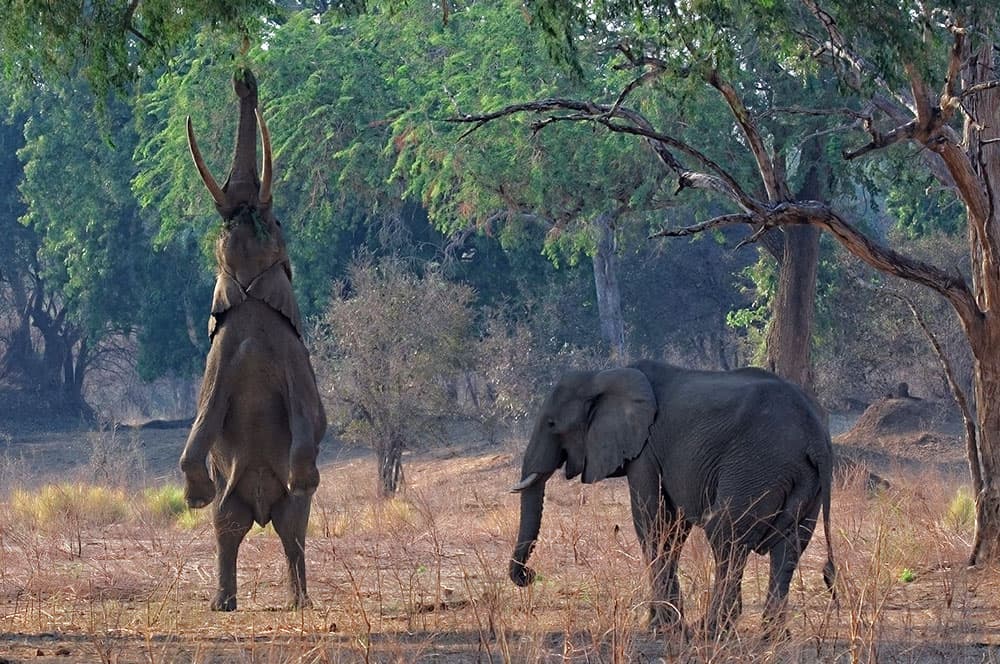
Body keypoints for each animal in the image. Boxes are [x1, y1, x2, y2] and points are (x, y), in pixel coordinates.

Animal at [179, 69, 327, 611]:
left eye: (276, 221)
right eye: (224, 224)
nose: (245, 80)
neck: (250, 298)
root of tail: (260, 505)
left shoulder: (292, 357)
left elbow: (313, 417)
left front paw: (304, 474)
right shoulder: (218, 358)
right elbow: (201, 418)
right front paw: (194, 492)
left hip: (287, 510)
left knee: (293, 527)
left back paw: (300, 600)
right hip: (234, 499)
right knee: (226, 524)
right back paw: (222, 602)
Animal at [509, 360, 835, 639]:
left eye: (552, 424)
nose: (528, 575)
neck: (602, 374)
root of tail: (815, 433)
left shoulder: (645, 450)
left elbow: (652, 523)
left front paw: (664, 628)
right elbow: (673, 529)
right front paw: (663, 623)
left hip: (755, 465)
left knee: (726, 537)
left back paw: (711, 630)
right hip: (803, 479)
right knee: (789, 548)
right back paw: (773, 636)